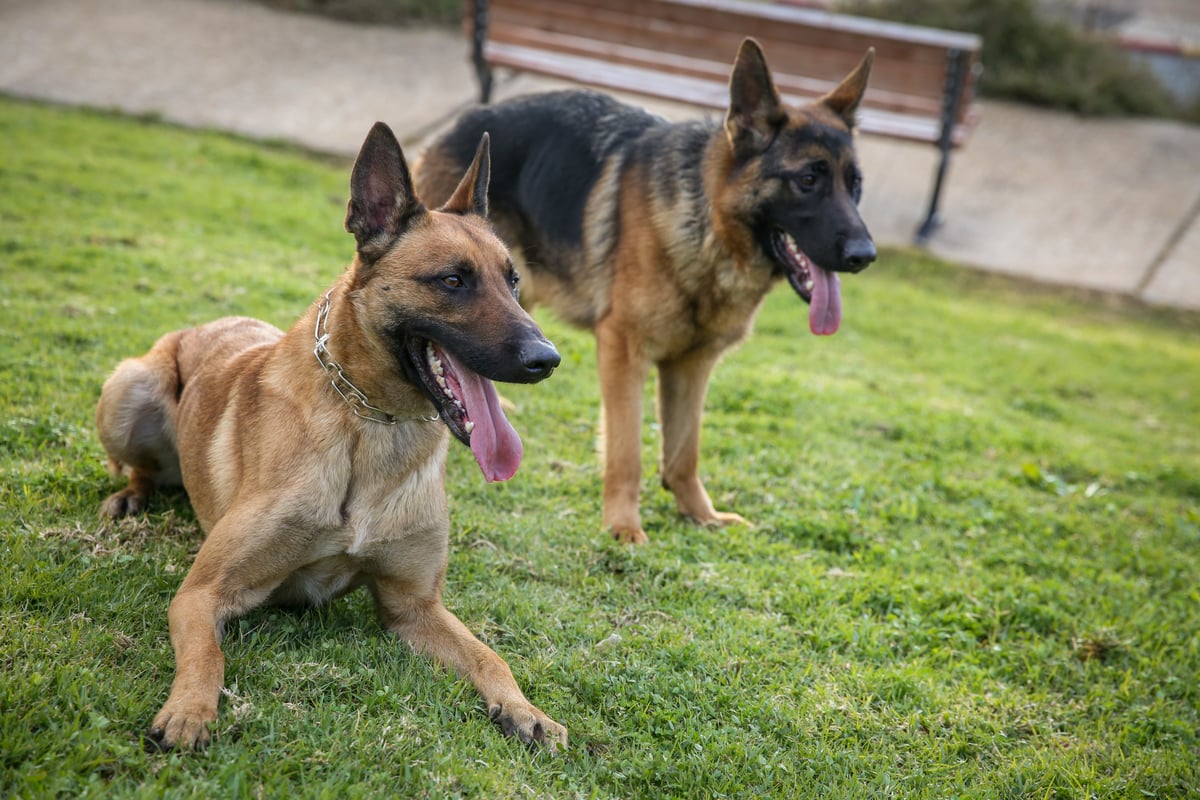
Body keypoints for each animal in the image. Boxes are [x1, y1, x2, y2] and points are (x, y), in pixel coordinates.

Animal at [94, 122, 566, 753]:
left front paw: (525, 710)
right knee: (140, 467)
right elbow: (207, 657)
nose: (547, 359)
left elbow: (490, 656)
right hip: (129, 388)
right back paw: (130, 497)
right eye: (453, 280)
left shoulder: (414, 607)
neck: (370, 425)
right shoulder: (200, 595)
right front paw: (188, 711)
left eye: (513, 282)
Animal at [417, 37, 878, 544]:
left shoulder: (692, 365)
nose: (865, 254)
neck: (708, 226)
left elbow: (685, 450)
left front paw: (701, 515)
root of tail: (461, 122)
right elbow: (627, 451)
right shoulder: (622, 350)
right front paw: (622, 525)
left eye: (855, 185)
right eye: (808, 180)